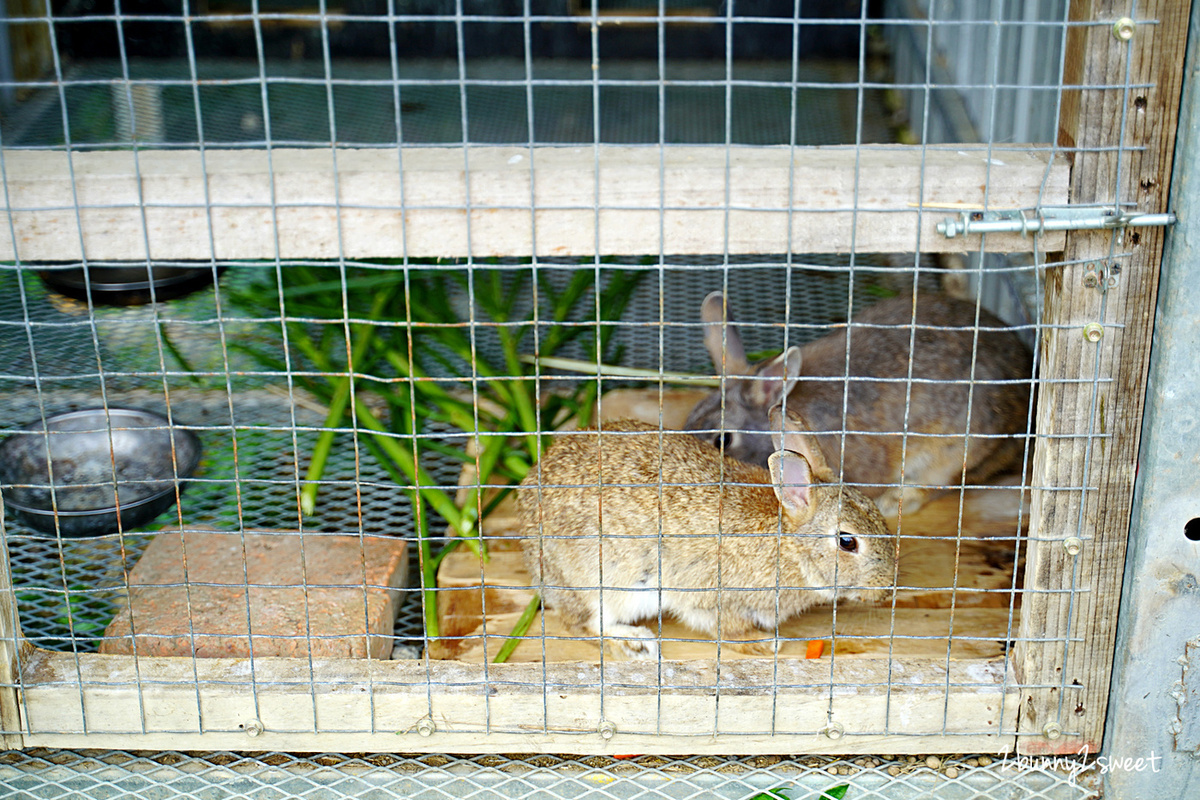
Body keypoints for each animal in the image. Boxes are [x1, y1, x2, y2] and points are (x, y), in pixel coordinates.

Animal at [516, 407, 892, 662]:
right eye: (847, 542)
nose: (887, 589)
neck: (788, 545)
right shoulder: (714, 598)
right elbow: (726, 628)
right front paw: (764, 643)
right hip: (603, 583)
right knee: (583, 624)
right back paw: (634, 642)